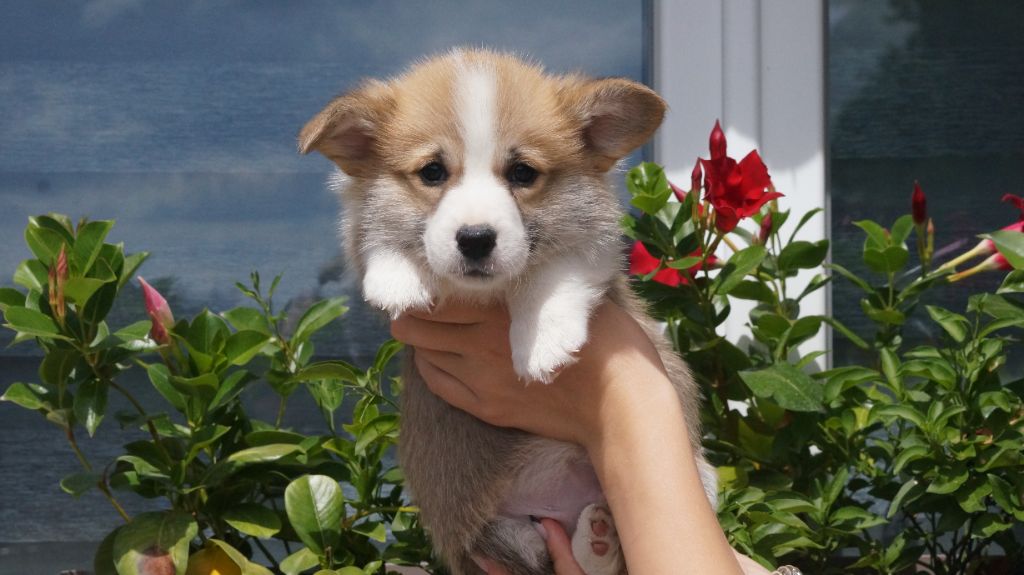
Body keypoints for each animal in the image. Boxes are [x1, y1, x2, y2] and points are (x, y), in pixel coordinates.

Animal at [299, 50, 712, 572]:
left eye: (523, 174)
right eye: (432, 172)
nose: (476, 239)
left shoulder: (594, 248)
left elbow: (551, 273)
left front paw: (542, 344)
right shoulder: (361, 227)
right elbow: (376, 239)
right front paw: (397, 278)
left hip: (700, 476)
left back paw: (600, 539)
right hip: (499, 529)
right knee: (541, 545)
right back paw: (590, 537)